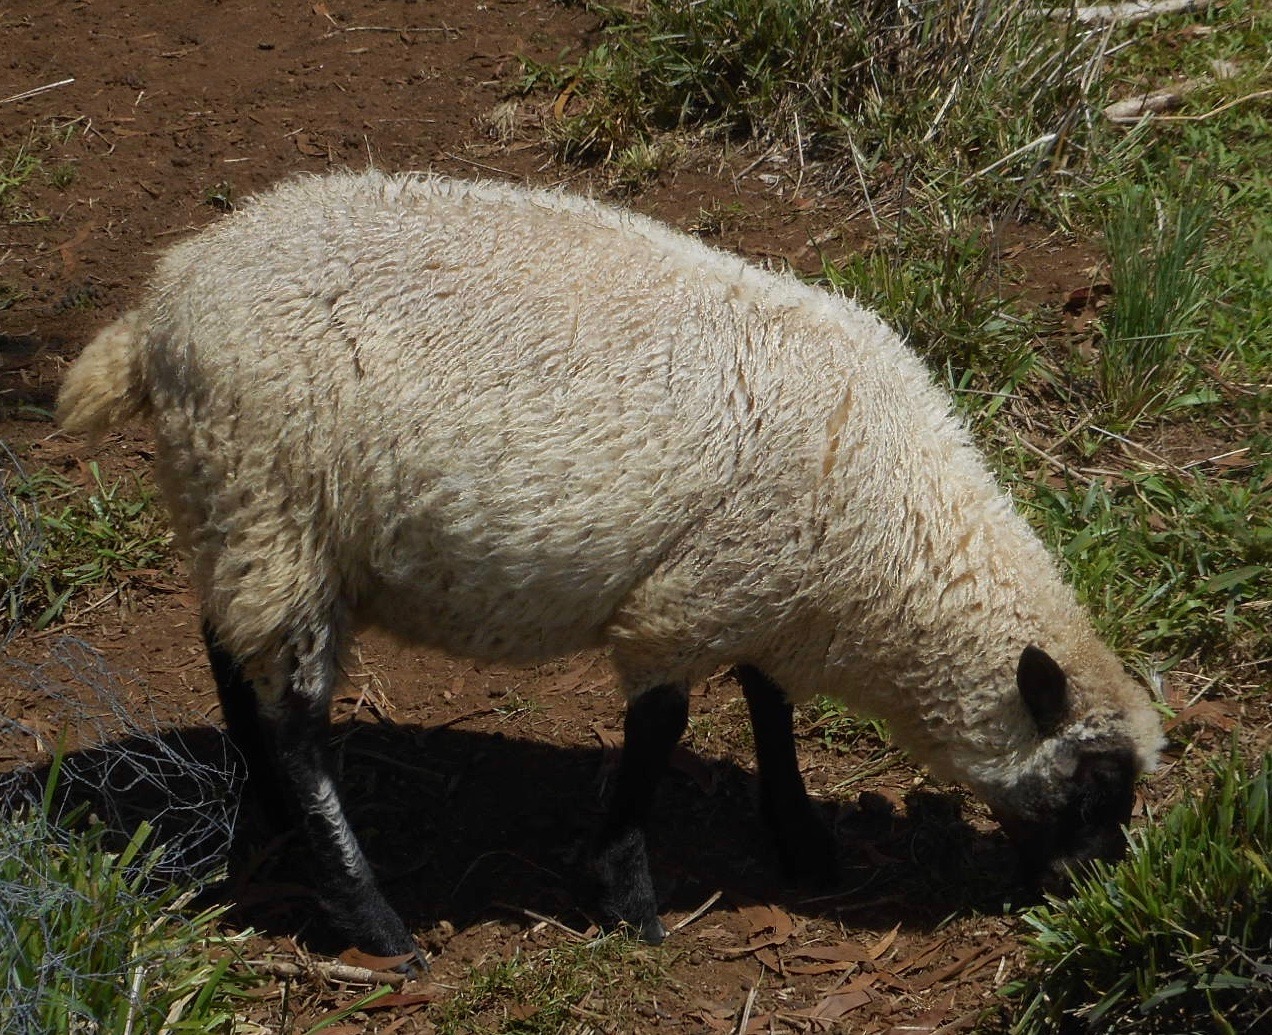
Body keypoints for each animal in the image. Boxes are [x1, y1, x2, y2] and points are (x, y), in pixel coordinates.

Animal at [57, 167, 1165, 966]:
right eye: (1096, 782)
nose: (1104, 888)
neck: (894, 543)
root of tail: (156, 313)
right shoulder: (686, 601)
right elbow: (663, 729)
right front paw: (626, 898)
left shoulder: (755, 585)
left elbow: (767, 701)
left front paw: (802, 838)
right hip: (273, 499)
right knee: (297, 725)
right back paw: (373, 919)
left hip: (238, 507)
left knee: (225, 648)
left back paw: (272, 810)